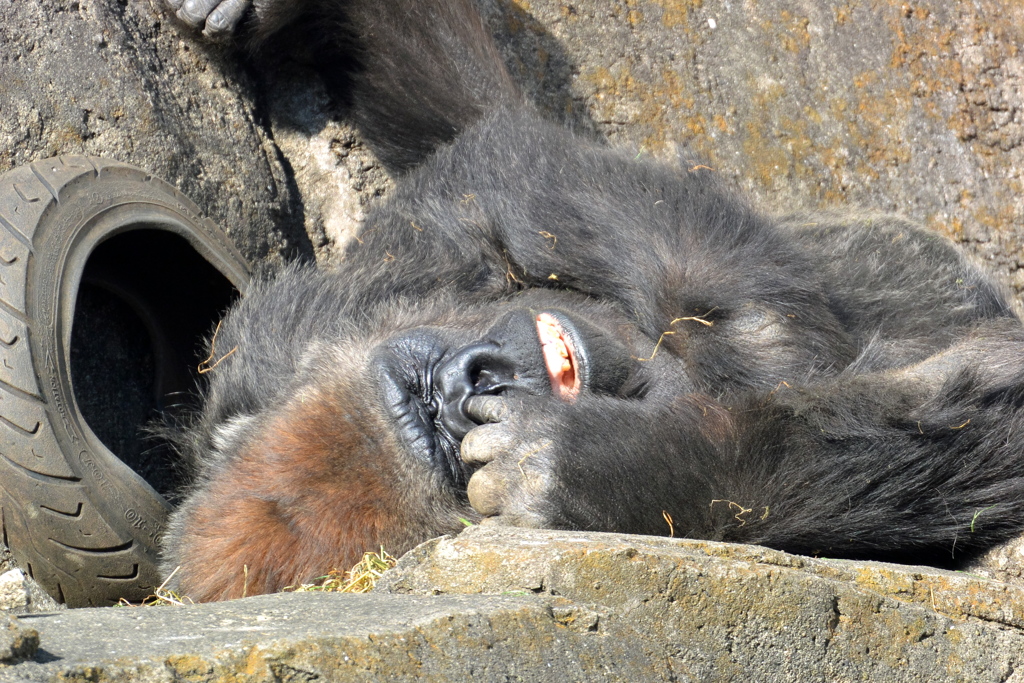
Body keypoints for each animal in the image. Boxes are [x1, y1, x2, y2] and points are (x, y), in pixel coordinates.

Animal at [161, 0, 1024, 602]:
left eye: (426, 387)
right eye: (441, 431)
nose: (474, 378)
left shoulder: (329, 306)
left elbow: (495, 140)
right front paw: (619, 470)